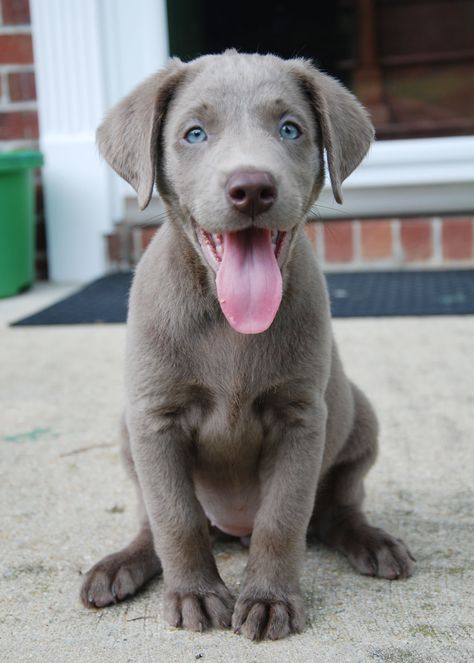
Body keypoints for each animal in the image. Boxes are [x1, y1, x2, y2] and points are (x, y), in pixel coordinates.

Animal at [81, 52, 414, 644]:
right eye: (194, 133)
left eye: (291, 129)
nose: (252, 188)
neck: (229, 321)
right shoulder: (154, 420)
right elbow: (175, 517)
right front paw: (194, 594)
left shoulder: (301, 418)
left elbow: (282, 518)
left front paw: (268, 600)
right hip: (126, 430)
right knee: (152, 521)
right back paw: (122, 564)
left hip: (360, 418)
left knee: (336, 510)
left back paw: (372, 542)